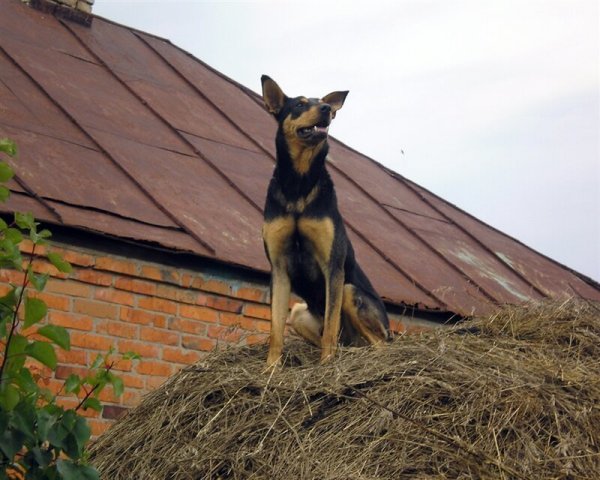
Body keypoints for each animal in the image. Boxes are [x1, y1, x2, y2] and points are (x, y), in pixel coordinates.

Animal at [262, 75, 392, 366]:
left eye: (324, 104)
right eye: (299, 104)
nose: (326, 110)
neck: (299, 183)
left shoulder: (333, 266)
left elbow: (331, 328)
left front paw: (326, 363)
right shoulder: (278, 267)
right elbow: (275, 330)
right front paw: (270, 369)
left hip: (351, 292)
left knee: (380, 345)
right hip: (299, 312)